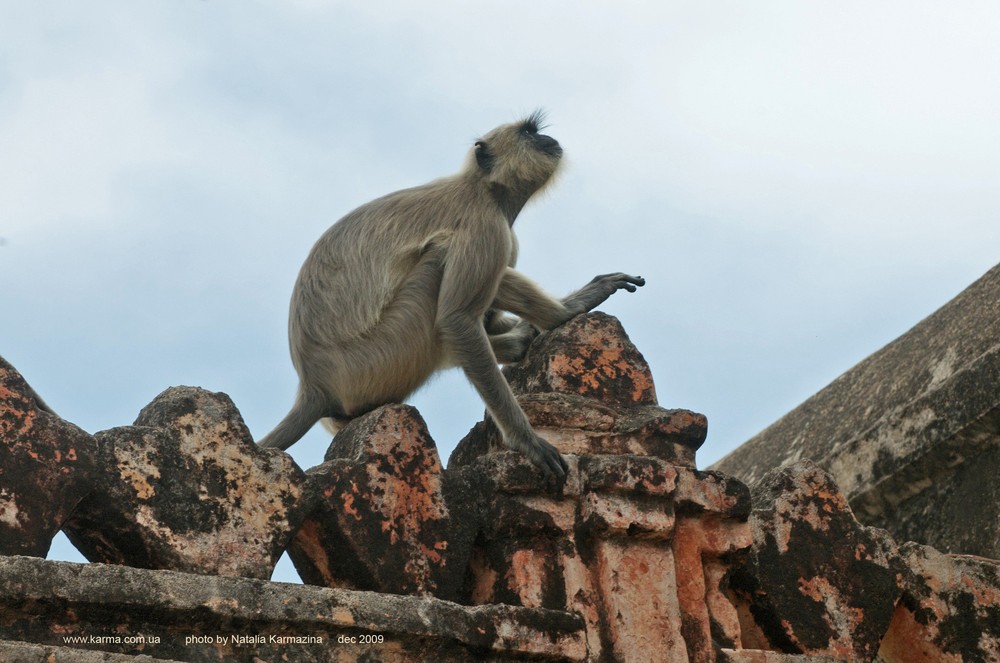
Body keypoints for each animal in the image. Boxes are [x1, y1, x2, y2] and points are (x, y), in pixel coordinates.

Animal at [258, 113, 644, 478]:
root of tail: (314, 385)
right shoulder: (486, 227)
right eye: (529, 132)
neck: (483, 189)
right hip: (379, 356)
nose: (548, 139)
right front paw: (527, 440)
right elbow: (457, 319)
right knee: (441, 260)